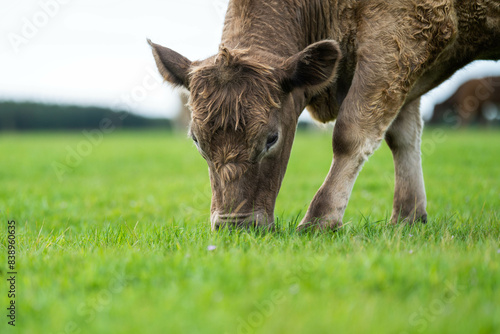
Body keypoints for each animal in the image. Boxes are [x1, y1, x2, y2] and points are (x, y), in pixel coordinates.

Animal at [148, 0, 500, 231]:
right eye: (197, 141)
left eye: (271, 139)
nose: (235, 226)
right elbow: (403, 137)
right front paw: (408, 216)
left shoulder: (400, 38)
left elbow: (351, 134)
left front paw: (320, 218)